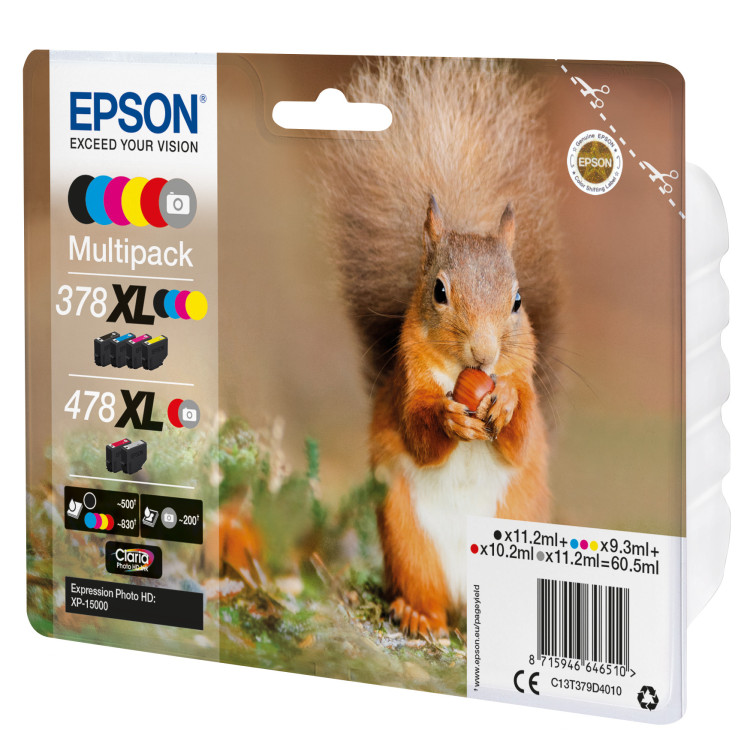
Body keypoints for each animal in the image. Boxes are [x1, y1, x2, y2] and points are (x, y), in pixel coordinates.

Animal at [316, 58, 562, 639]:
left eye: (517, 300)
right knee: (423, 590)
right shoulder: (409, 382)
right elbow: (416, 429)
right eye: (439, 291)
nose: (484, 354)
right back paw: (418, 614)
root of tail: (462, 603)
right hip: (408, 539)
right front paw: (450, 420)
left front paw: (505, 402)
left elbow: (520, 438)